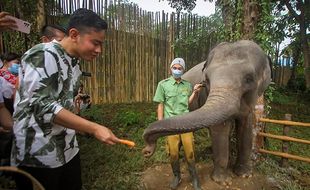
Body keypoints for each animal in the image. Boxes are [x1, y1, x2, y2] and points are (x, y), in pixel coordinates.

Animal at [142, 40, 272, 186]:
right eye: (207, 80)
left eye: (249, 79)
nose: (146, 151)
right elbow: (220, 129)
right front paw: (223, 182)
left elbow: (246, 130)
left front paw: (245, 175)